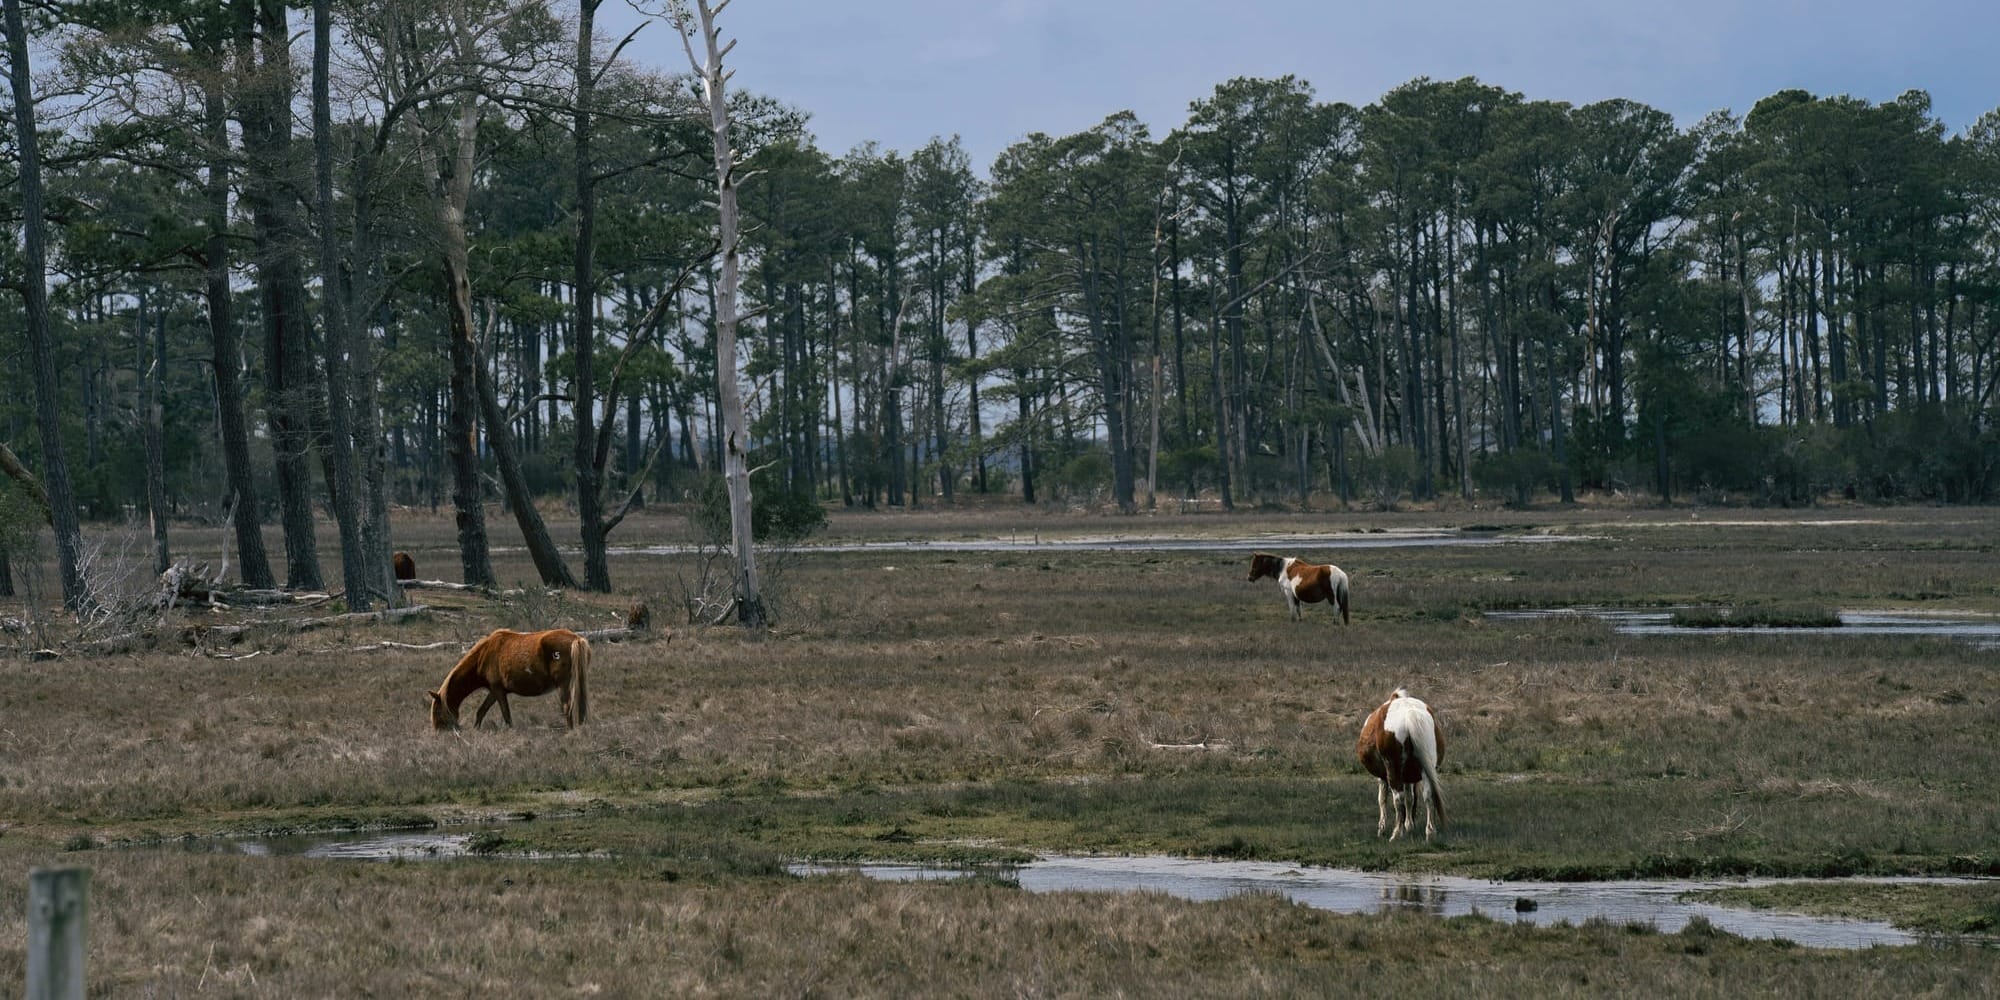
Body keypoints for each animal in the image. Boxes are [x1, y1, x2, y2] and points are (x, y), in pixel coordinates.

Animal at [425, 628, 590, 731]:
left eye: (437, 709)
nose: (438, 731)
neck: (483, 655)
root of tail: (576, 639)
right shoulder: (494, 691)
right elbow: (481, 711)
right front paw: (476, 729)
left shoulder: (498, 691)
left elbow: (506, 714)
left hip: (564, 685)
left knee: (567, 707)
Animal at [1355, 688, 1445, 841]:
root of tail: (1409, 714)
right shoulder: (1408, 777)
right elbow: (1410, 798)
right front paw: (1409, 826)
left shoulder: (1383, 777)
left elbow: (1382, 799)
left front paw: (1382, 829)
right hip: (1427, 768)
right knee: (1427, 794)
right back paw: (1430, 832)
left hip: (1393, 768)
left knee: (1398, 797)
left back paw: (1397, 833)